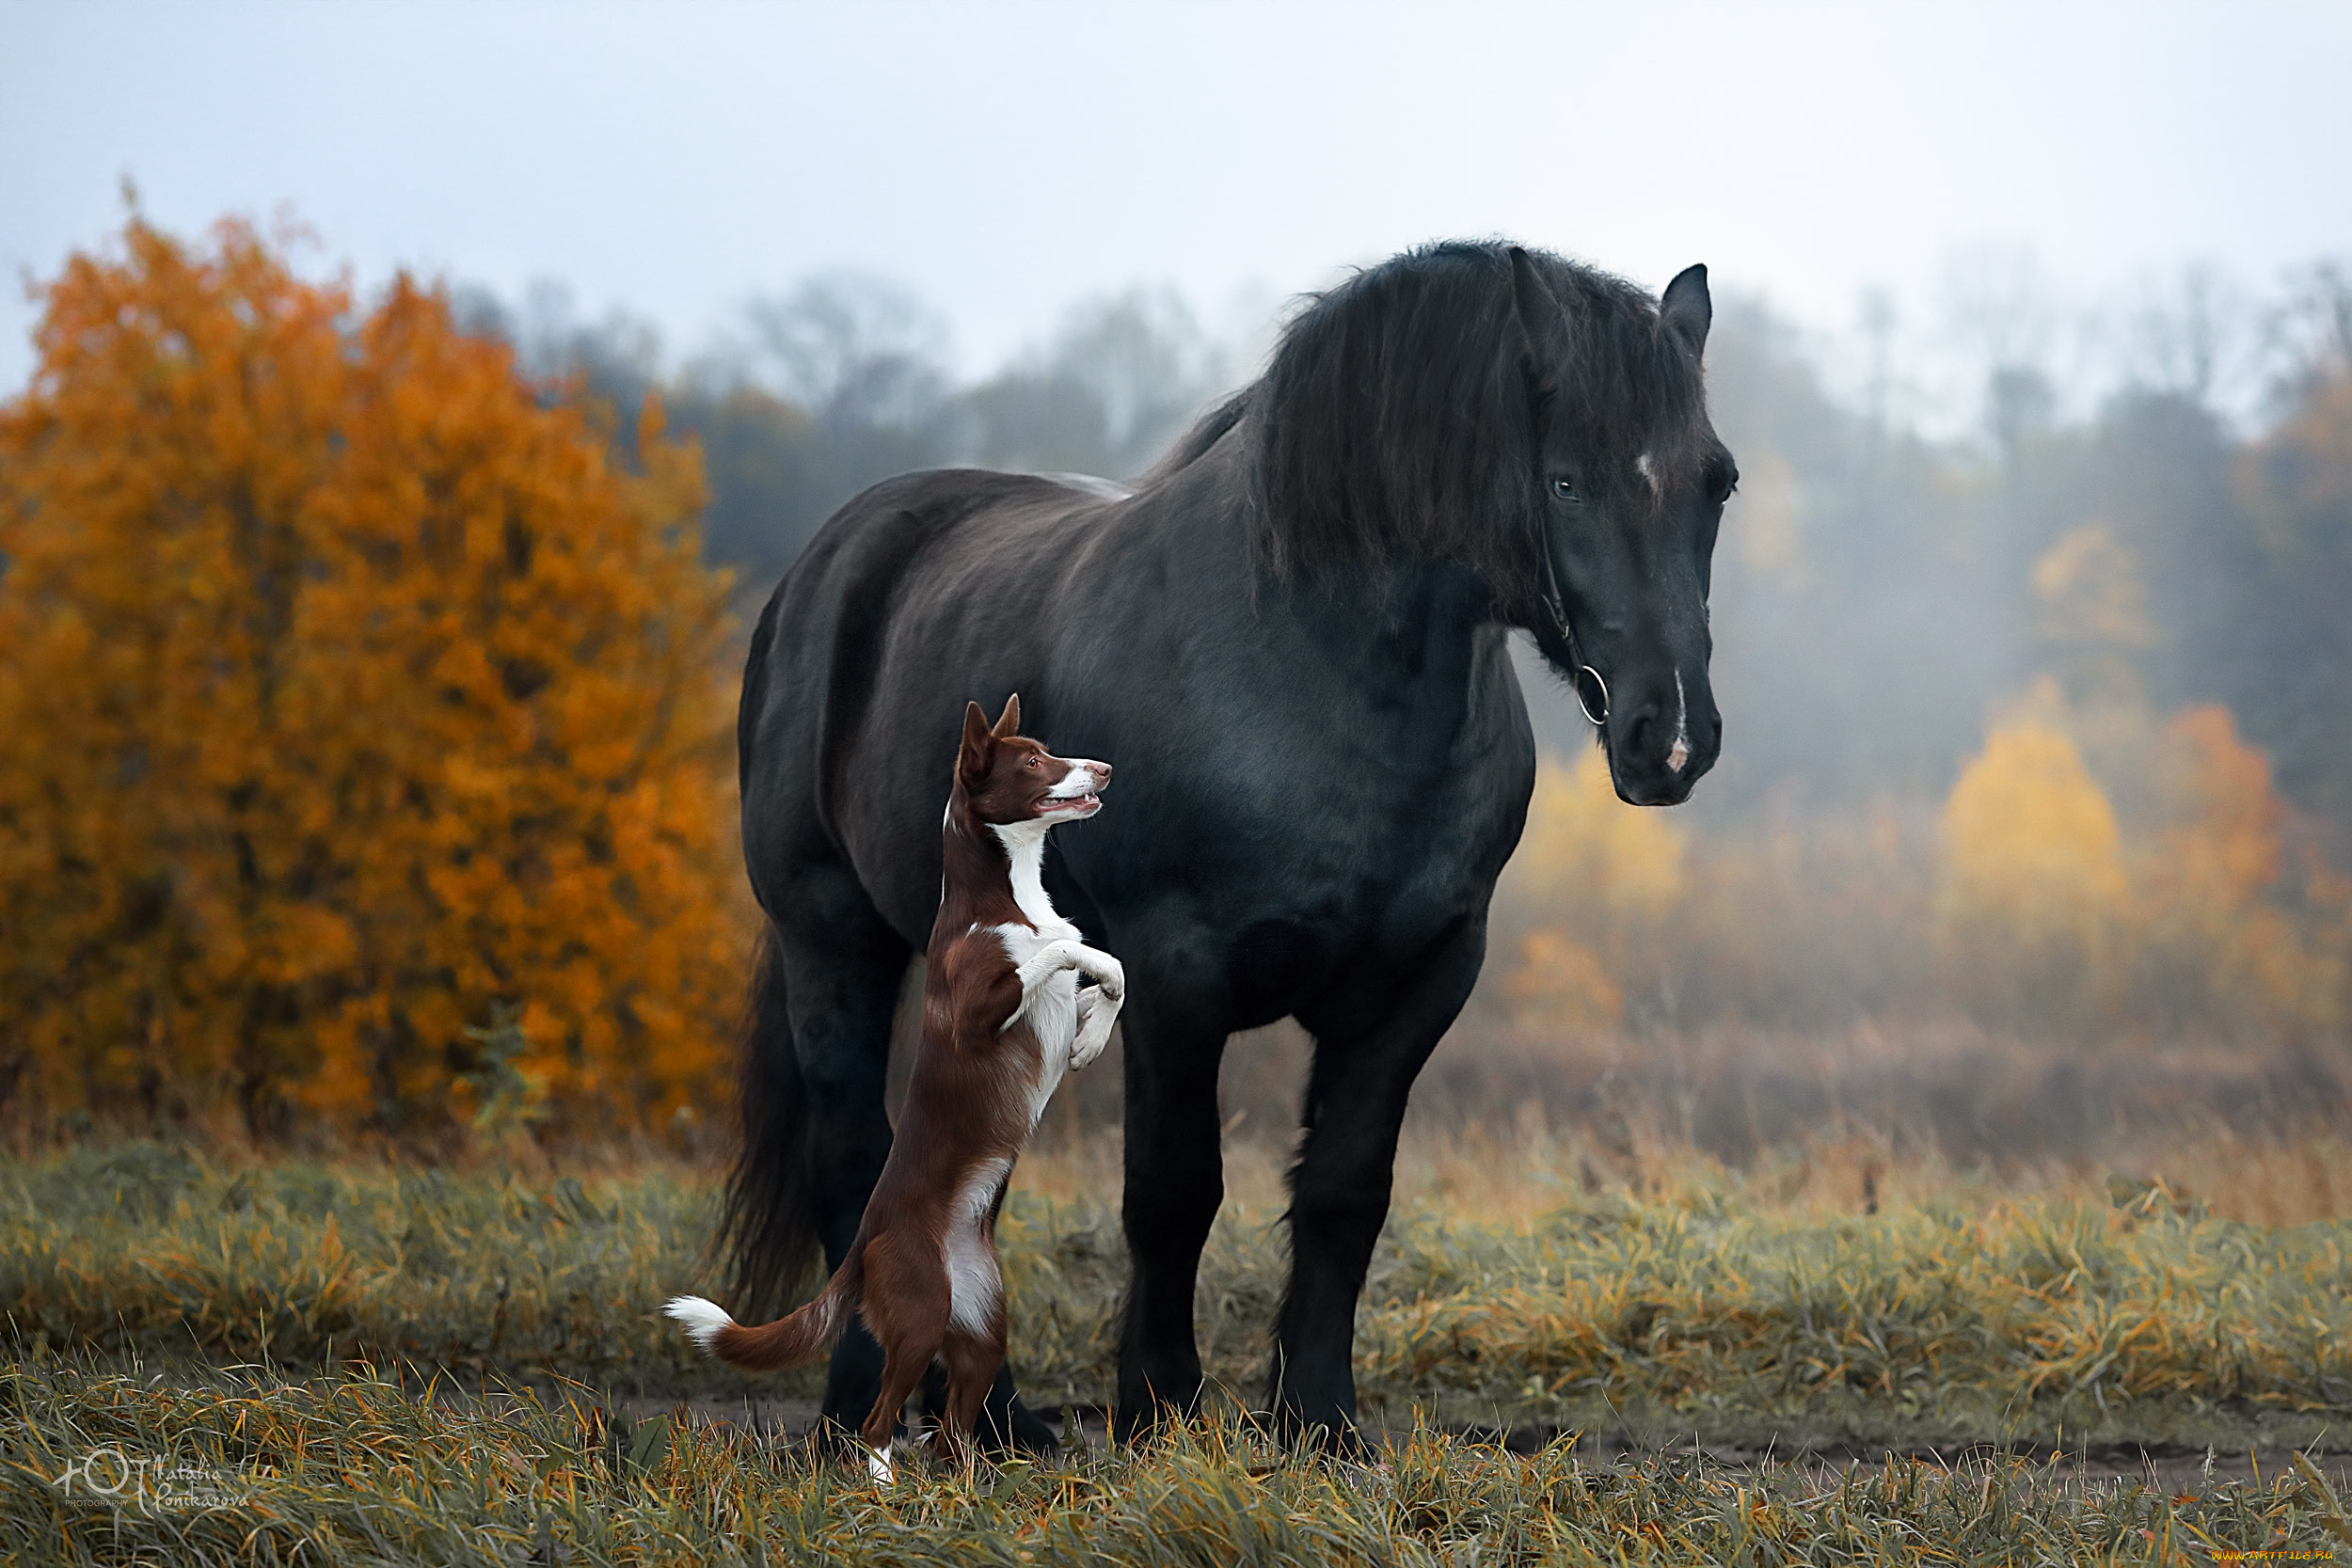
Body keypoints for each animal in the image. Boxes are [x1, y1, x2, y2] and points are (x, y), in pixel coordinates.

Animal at [668, 690, 1124, 1476]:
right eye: (1034, 761)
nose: (1104, 767)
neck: (1007, 893)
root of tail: (867, 1239)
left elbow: (1107, 970)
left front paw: (1095, 1032)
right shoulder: (980, 1006)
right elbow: (1065, 947)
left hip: (981, 1326)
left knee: (951, 1424)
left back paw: (962, 1484)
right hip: (917, 1313)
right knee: (881, 1418)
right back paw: (884, 1484)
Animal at [715, 242, 1731, 1448]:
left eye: (1716, 481)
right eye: (1567, 481)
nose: (1671, 736)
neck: (1315, 664)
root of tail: (830, 563)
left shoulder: (1421, 979)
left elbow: (1344, 1189)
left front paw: (1319, 1418)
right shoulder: (1174, 973)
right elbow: (1173, 1188)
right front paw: (1158, 1404)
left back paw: (995, 1418)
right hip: (830, 938)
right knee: (854, 1160)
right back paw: (858, 1407)